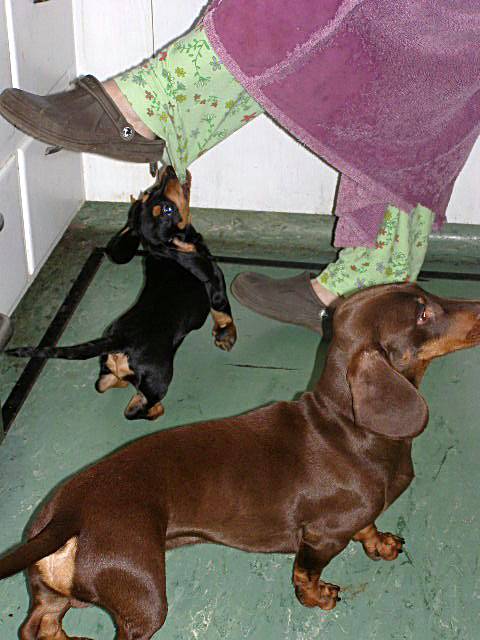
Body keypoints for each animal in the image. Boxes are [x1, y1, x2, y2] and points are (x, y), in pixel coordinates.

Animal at [0, 284, 480, 640]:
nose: (479, 305)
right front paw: (317, 598)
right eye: (422, 315)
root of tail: (68, 513)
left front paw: (379, 542)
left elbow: (368, 524)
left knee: (38, 627)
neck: (350, 429)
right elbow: (305, 573)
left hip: (53, 588)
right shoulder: (322, 537)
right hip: (142, 595)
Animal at [8, 165, 237, 420]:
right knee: (136, 409)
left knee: (102, 384)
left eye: (148, 193)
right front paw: (226, 336)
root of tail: (118, 341)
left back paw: (122, 382)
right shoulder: (216, 282)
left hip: (109, 368)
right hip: (159, 378)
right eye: (167, 209)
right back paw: (155, 410)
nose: (168, 169)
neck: (166, 253)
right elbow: (223, 312)